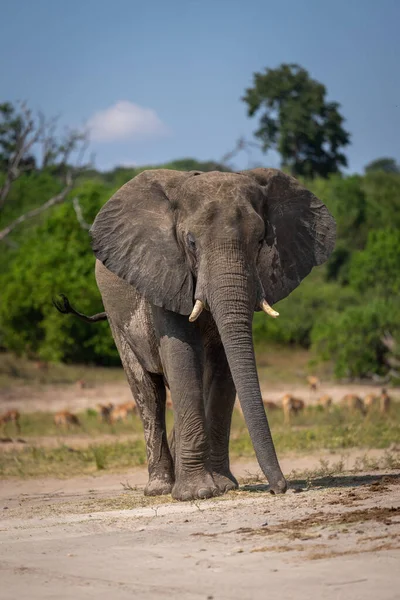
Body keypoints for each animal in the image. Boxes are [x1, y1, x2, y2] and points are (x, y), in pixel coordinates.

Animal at [54, 169, 334, 502]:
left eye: (260, 241)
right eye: (191, 242)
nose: (280, 488)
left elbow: (223, 364)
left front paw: (222, 486)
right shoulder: (164, 273)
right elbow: (181, 354)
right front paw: (197, 493)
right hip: (116, 316)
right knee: (148, 391)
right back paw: (161, 488)